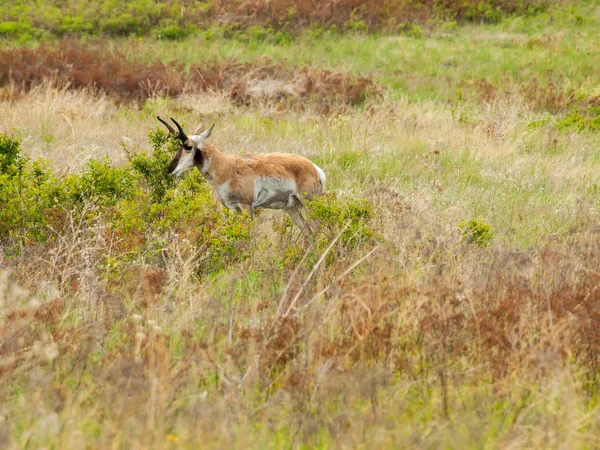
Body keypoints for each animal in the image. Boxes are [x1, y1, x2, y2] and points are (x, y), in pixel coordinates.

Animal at [157, 116, 326, 232]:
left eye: (188, 146)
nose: (170, 169)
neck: (228, 167)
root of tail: (314, 168)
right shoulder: (236, 209)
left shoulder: (246, 207)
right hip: (292, 209)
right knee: (308, 233)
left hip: (310, 204)